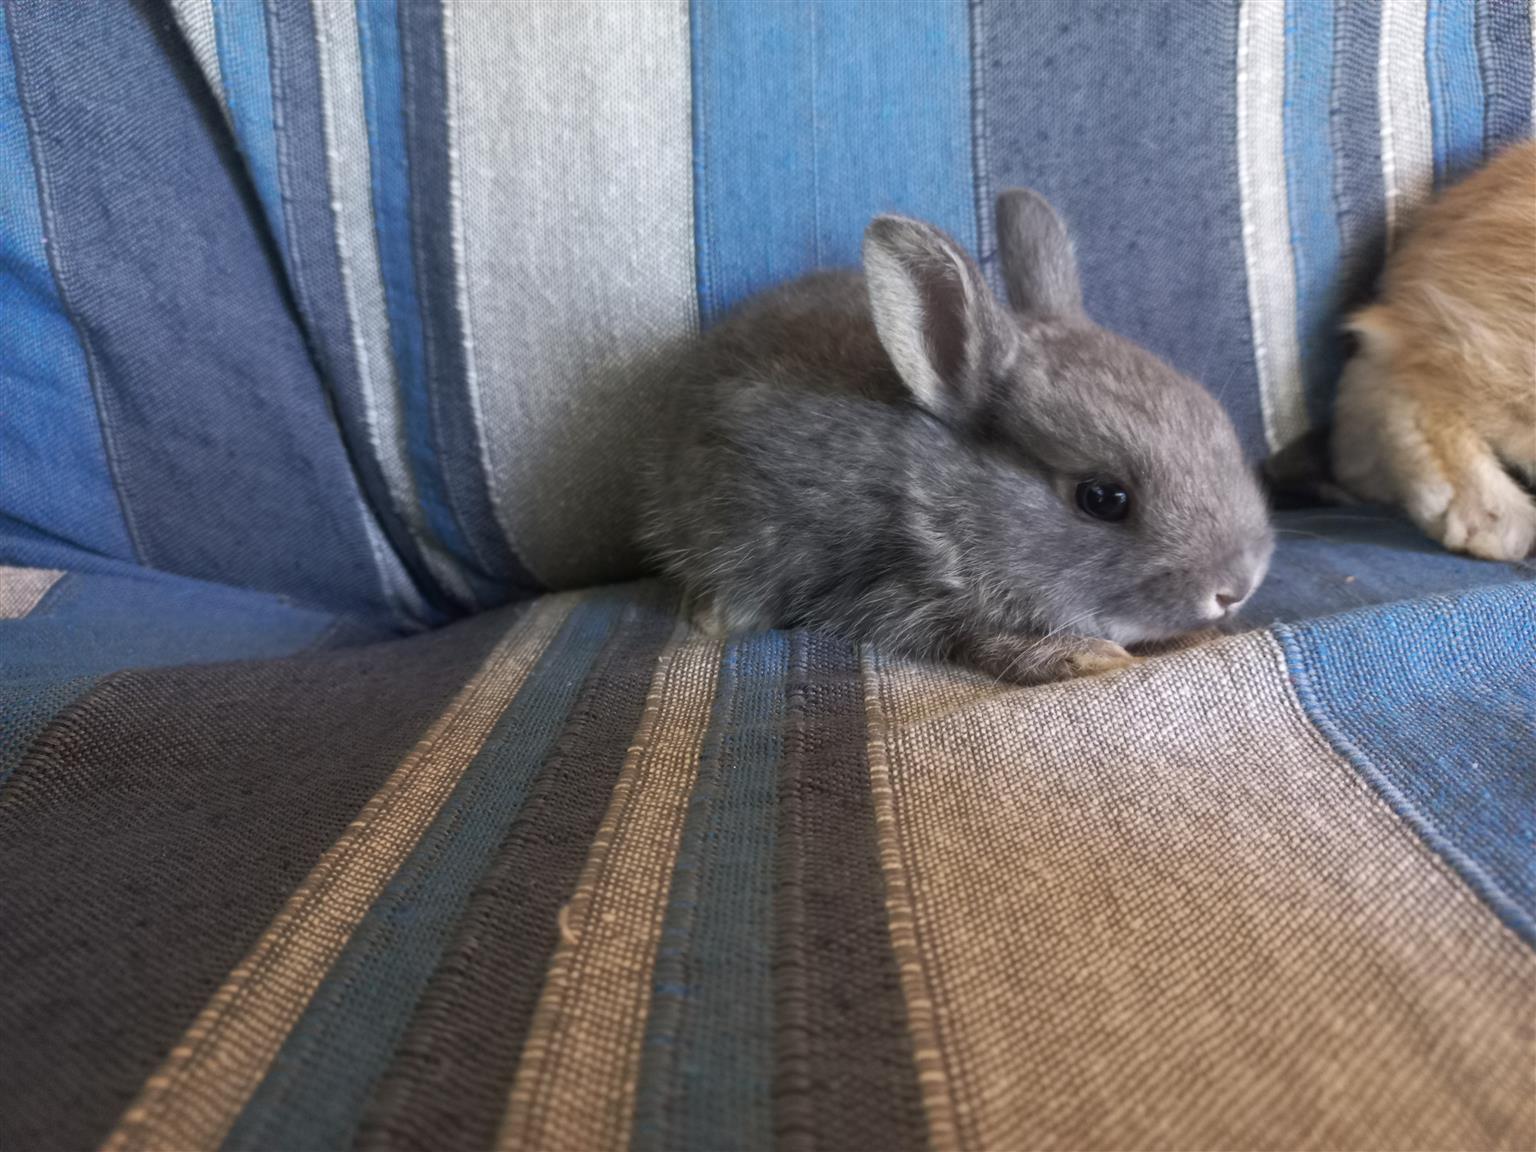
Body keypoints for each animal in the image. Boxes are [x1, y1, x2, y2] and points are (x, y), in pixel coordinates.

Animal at [638, 190, 1274, 685]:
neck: (941, 494)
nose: (1236, 588)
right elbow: (972, 636)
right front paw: (1086, 658)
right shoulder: (888, 590)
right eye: (1103, 498)